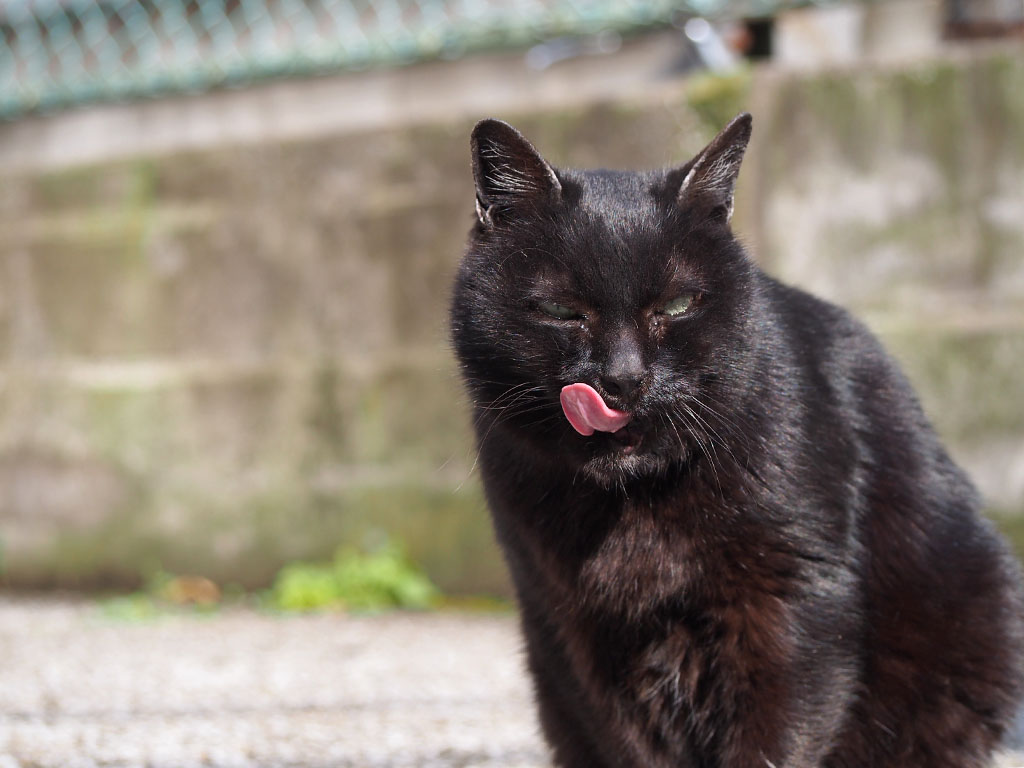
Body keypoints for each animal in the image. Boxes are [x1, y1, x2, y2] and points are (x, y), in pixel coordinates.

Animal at [448, 114, 1024, 768]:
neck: (635, 503)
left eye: (677, 304)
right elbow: (628, 738)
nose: (622, 379)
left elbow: (781, 731)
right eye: (560, 310)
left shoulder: (789, 597)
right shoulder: (575, 626)